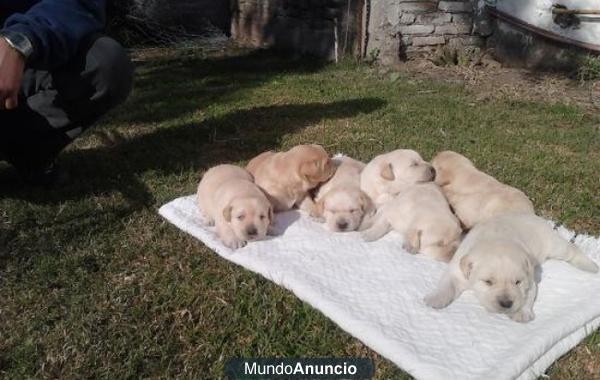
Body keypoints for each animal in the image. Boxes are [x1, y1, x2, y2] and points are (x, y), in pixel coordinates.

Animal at [424, 212, 596, 322]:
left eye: (517, 282)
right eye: (488, 282)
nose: (506, 304)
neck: (495, 238)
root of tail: (538, 218)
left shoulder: (529, 279)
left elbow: (528, 295)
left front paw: (521, 313)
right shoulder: (457, 270)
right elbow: (447, 284)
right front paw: (435, 299)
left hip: (553, 244)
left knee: (571, 250)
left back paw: (591, 266)